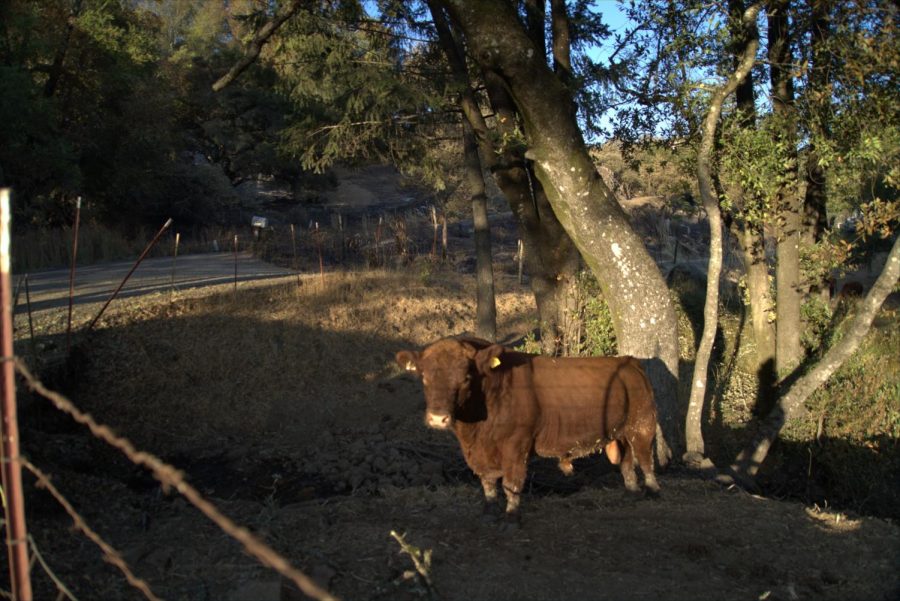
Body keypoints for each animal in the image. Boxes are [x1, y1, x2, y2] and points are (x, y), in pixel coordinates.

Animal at [398, 338, 656, 516]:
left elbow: (512, 483)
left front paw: (511, 515)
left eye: (465, 378)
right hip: (622, 434)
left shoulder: (516, 446)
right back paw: (632, 492)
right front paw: (489, 510)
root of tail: (629, 361)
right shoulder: (480, 454)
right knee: (627, 464)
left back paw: (653, 491)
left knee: (646, 461)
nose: (438, 418)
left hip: (642, 426)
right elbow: (488, 484)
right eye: (424, 377)